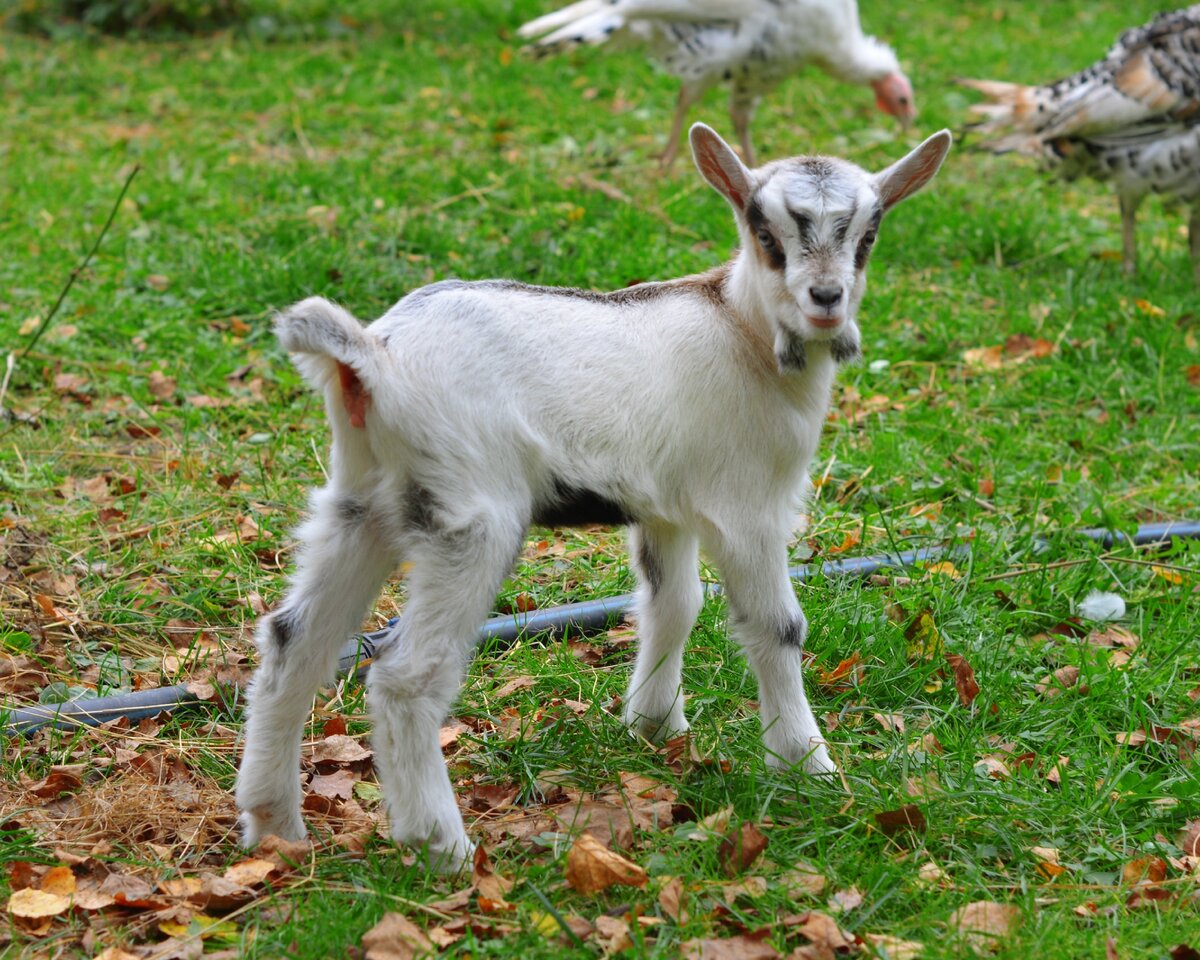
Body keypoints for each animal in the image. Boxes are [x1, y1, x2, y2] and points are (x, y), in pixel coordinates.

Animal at [236, 120, 945, 868]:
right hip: (472, 515)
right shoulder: (747, 508)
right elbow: (776, 626)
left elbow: (673, 604)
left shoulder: (666, 507)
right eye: (766, 233)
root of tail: (374, 354)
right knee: (406, 676)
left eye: (867, 234)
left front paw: (655, 726)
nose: (827, 298)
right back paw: (443, 849)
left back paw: (275, 824)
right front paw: (809, 769)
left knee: (292, 640)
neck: (742, 331)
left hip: (362, 501)